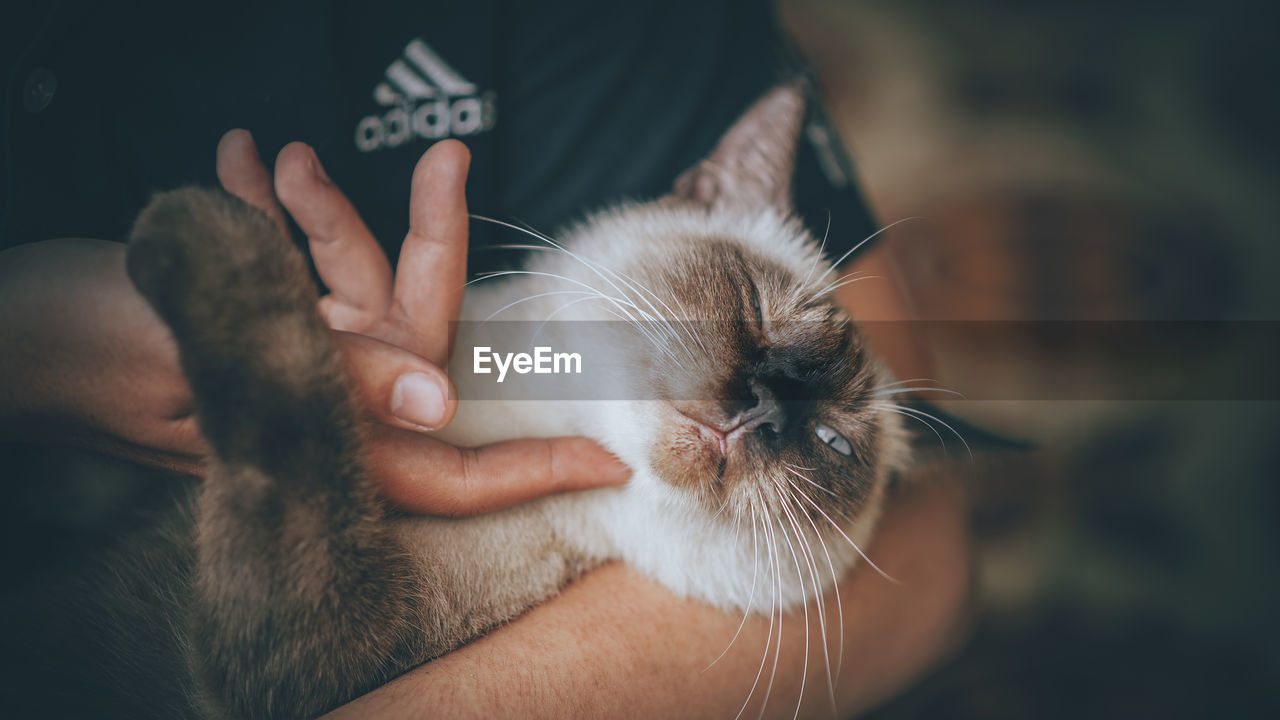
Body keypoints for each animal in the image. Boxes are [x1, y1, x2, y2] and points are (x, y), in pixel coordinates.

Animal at [112, 81, 911, 712]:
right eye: (757, 308)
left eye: (832, 443)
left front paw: (191, 224)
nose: (764, 409)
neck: (530, 406)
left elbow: (293, 399)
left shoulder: (328, 639)